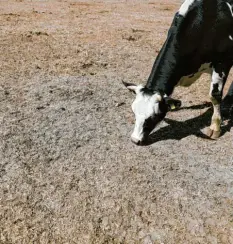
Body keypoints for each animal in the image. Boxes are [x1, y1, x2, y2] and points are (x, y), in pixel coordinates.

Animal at [124, 0, 233, 145]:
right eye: (134, 111)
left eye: (154, 116)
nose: (135, 140)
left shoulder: (222, 63)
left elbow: (214, 96)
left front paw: (215, 127)